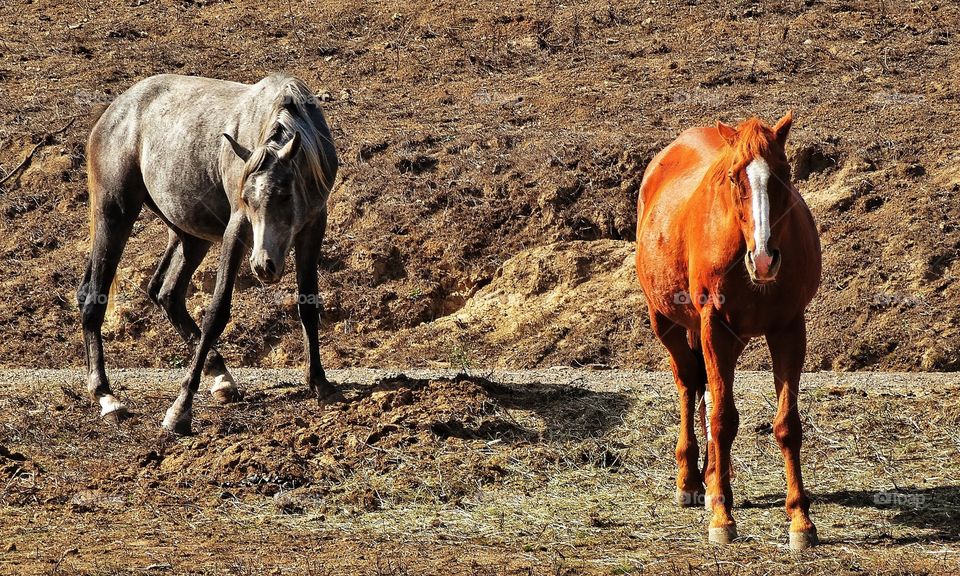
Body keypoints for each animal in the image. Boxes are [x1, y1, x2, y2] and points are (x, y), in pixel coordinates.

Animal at [77, 73, 340, 435]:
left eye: (285, 195)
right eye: (246, 199)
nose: (263, 265)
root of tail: (113, 112)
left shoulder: (314, 225)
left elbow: (309, 305)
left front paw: (320, 382)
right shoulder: (237, 228)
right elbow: (216, 314)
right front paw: (180, 410)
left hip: (189, 235)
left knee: (166, 293)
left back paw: (221, 376)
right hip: (114, 214)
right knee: (94, 299)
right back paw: (106, 395)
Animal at [635, 112, 821, 549]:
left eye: (784, 173)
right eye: (735, 177)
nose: (765, 258)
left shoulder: (789, 329)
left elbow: (787, 425)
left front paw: (800, 520)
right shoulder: (714, 327)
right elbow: (721, 418)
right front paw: (721, 514)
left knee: (707, 390)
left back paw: (712, 476)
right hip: (668, 324)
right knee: (690, 387)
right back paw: (691, 481)